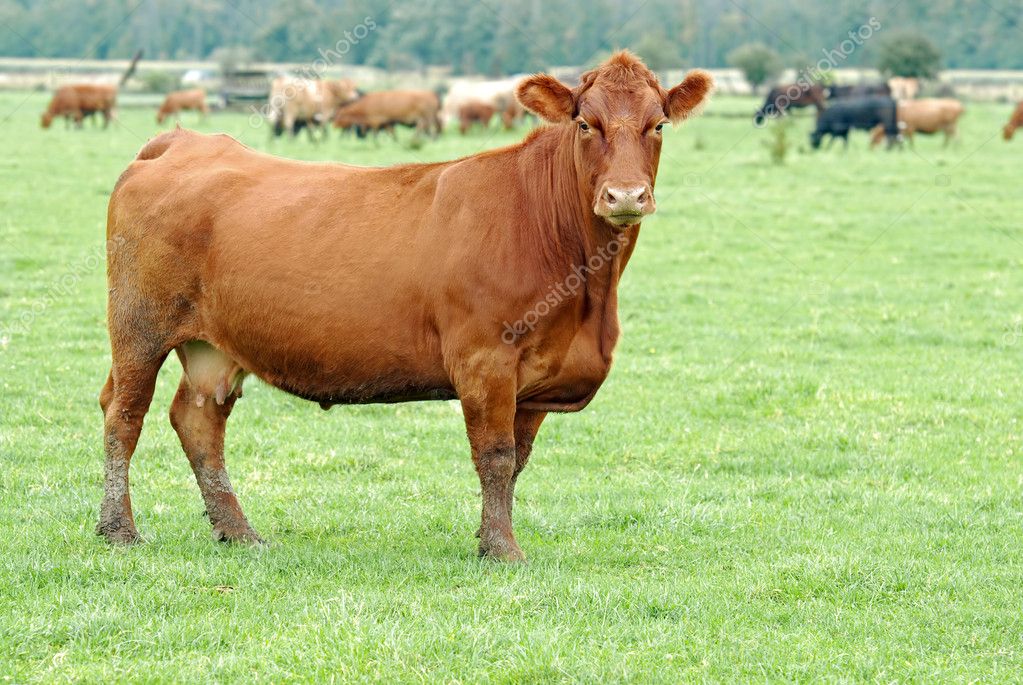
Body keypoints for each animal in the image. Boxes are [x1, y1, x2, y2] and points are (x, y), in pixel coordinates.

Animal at [96, 51, 712, 562]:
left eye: (658, 125)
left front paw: (488, 538)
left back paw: (238, 532)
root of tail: (185, 141)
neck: (587, 295)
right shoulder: (485, 359)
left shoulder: (537, 378)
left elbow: (517, 461)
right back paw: (118, 530)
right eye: (586, 124)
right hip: (138, 326)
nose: (626, 196)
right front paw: (502, 550)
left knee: (198, 420)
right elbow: (495, 455)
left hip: (214, 345)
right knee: (123, 414)